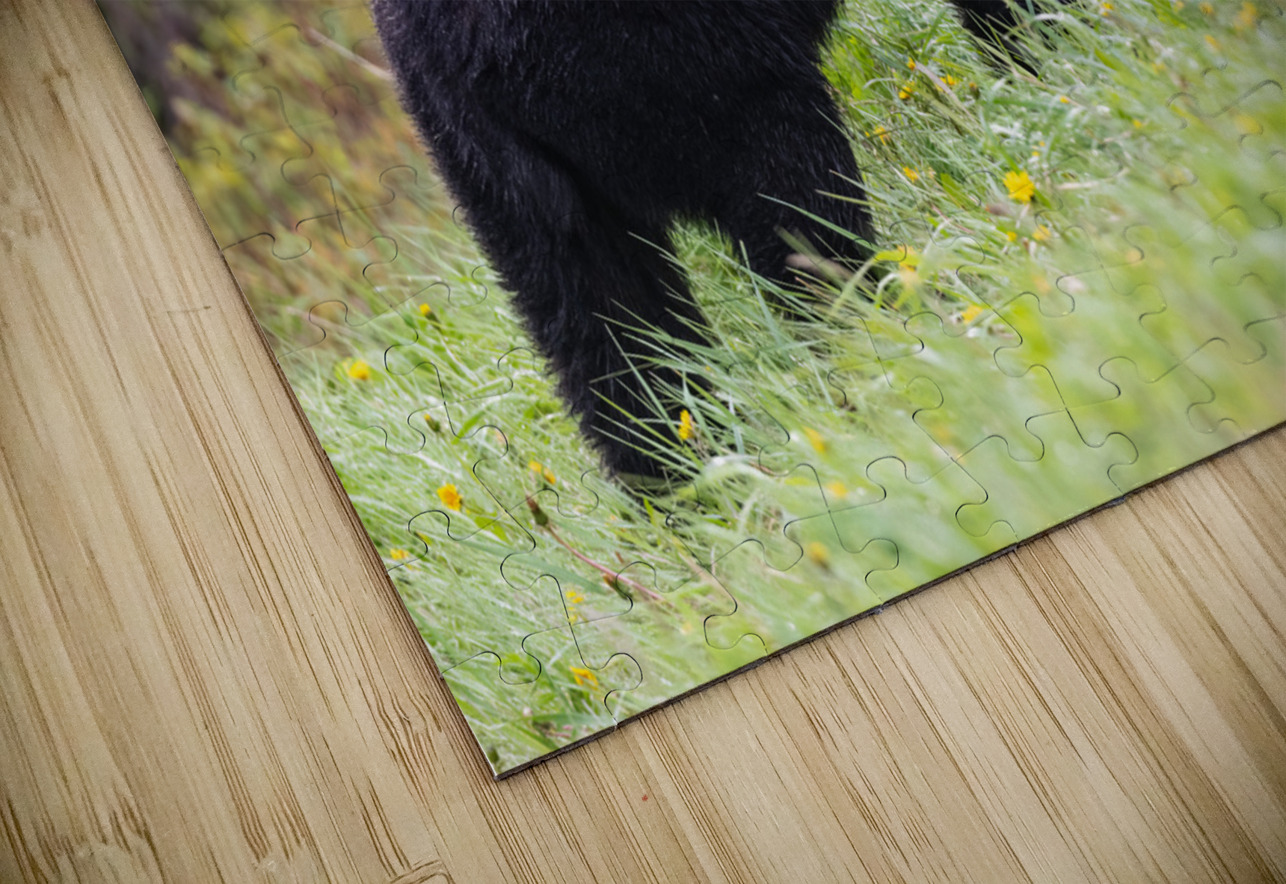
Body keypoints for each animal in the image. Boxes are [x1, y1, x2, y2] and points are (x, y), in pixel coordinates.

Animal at [371, 0, 1050, 478]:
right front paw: (1043, 60)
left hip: (493, 170)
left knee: (600, 326)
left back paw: (691, 490)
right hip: (671, 66)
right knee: (796, 211)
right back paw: (893, 342)